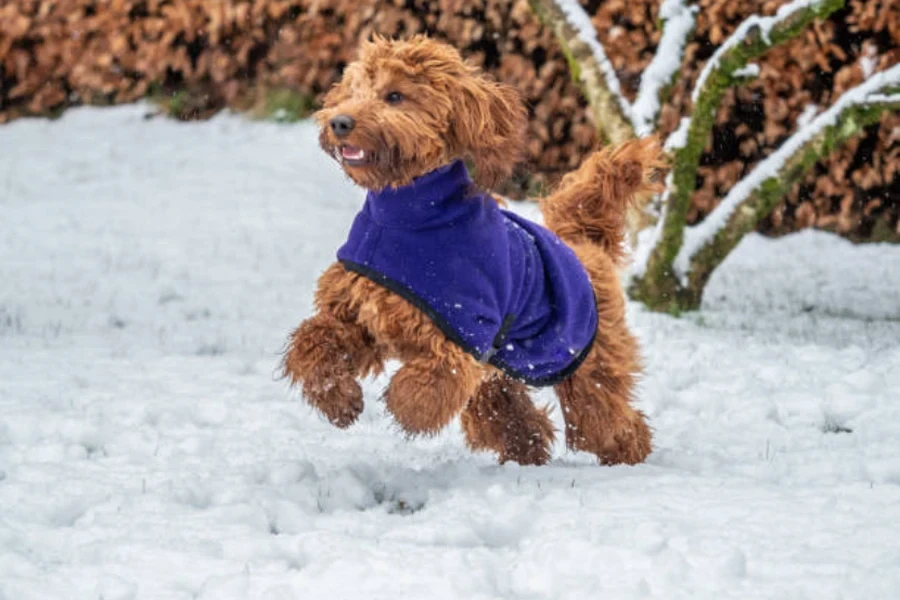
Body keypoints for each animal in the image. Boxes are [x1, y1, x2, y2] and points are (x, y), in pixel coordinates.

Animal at [284, 35, 664, 466]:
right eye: (354, 91)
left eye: (395, 95)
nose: (340, 122)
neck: (406, 217)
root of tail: (581, 242)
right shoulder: (357, 315)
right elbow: (314, 339)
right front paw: (337, 399)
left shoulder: (459, 335)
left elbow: (429, 384)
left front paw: (401, 408)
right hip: (506, 373)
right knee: (517, 420)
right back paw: (525, 458)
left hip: (585, 361)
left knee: (606, 421)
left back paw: (629, 457)